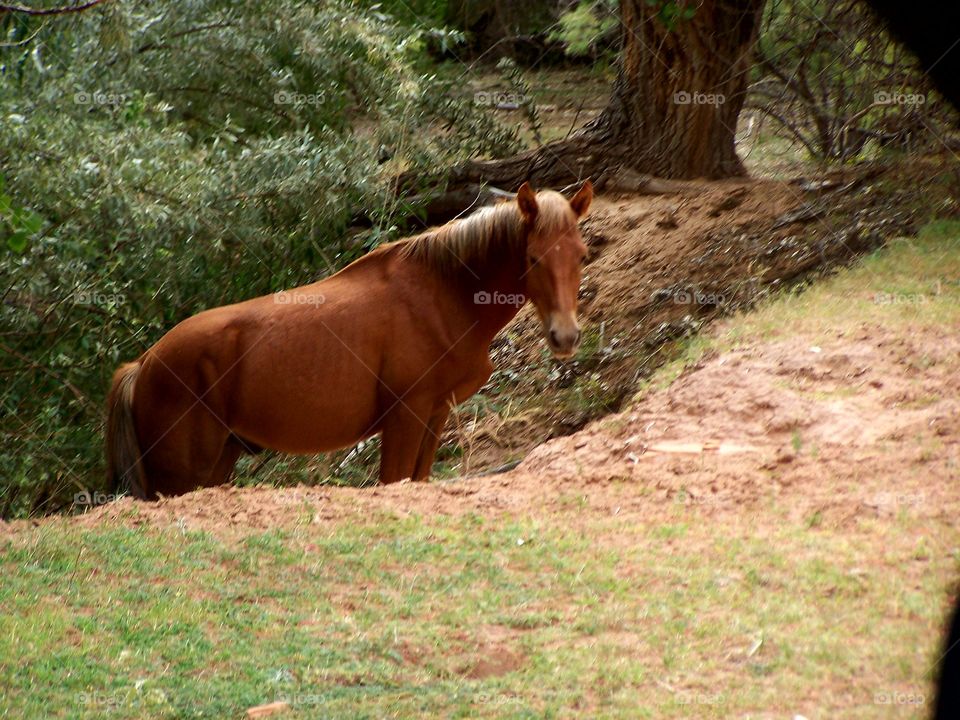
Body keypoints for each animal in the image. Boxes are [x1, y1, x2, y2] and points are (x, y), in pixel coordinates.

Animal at [106, 181, 593, 498]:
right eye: (533, 258)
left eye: (582, 255)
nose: (565, 336)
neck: (442, 294)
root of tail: (142, 364)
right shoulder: (405, 418)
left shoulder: (434, 416)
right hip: (181, 477)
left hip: (219, 462)